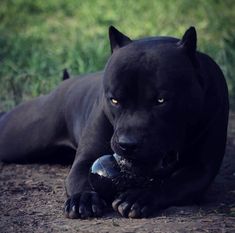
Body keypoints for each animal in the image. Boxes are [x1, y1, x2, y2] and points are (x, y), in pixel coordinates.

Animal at [0, 26, 228, 218]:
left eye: (161, 100)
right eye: (115, 100)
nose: (128, 144)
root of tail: (65, 83)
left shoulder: (201, 169)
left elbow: (171, 184)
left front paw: (140, 196)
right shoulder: (86, 160)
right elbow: (82, 178)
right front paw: (83, 199)